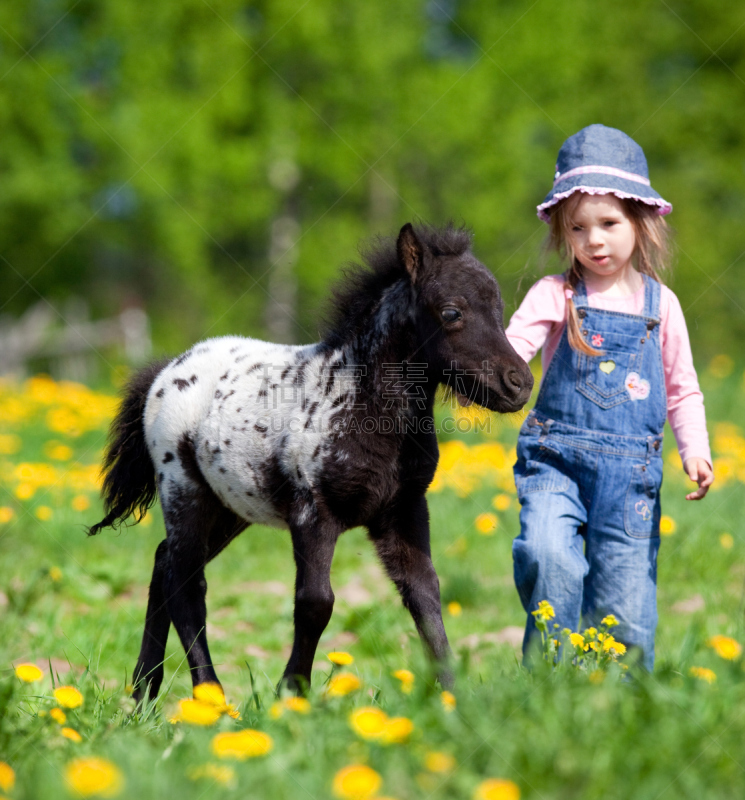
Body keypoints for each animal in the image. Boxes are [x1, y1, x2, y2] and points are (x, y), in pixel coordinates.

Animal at [87, 220, 532, 700]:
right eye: (451, 312)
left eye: (500, 309)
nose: (519, 383)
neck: (360, 404)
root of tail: (167, 370)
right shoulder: (313, 513)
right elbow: (316, 603)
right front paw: (290, 692)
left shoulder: (404, 510)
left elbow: (424, 593)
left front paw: (451, 696)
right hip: (185, 493)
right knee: (185, 584)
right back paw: (210, 696)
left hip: (231, 507)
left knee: (163, 563)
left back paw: (144, 690)